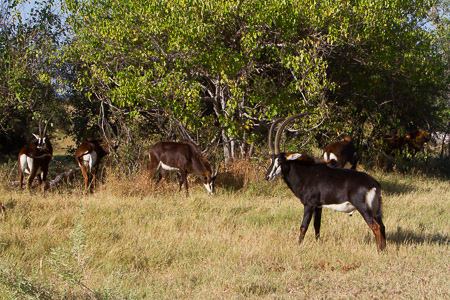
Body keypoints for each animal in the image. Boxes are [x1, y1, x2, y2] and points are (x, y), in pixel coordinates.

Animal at [268, 113, 386, 252]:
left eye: (280, 161)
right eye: (271, 159)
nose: (268, 176)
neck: (306, 173)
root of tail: (374, 184)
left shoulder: (309, 205)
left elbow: (303, 226)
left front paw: (298, 246)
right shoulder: (318, 206)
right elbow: (317, 225)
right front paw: (319, 244)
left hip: (363, 208)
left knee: (375, 227)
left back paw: (379, 250)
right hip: (375, 210)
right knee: (382, 226)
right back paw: (384, 249)